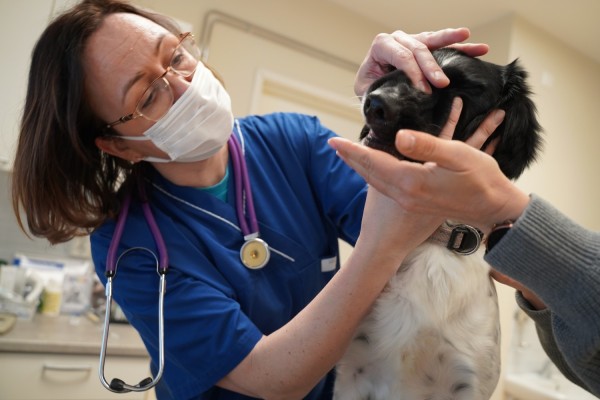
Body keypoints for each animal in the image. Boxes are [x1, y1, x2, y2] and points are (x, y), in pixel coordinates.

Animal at [332, 49, 544, 400]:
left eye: (465, 89)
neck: (439, 243)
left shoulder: (468, 382)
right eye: (403, 67)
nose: (376, 102)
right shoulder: (353, 372)